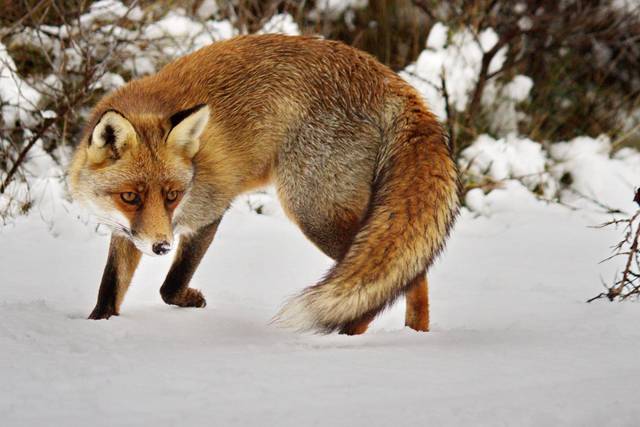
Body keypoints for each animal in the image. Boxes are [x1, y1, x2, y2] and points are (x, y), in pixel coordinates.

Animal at [68, 34, 460, 335]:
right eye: (130, 197)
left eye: (173, 195)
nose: (162, 247)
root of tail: (390, 79)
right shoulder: (126, 231)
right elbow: (110, 288)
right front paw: (98, 327)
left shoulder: (210, 209)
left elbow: (170, 286)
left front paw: (190, 299)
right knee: (410, 272)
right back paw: (415, 335)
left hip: (314, 212)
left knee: (404, 276)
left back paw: (354, 336)